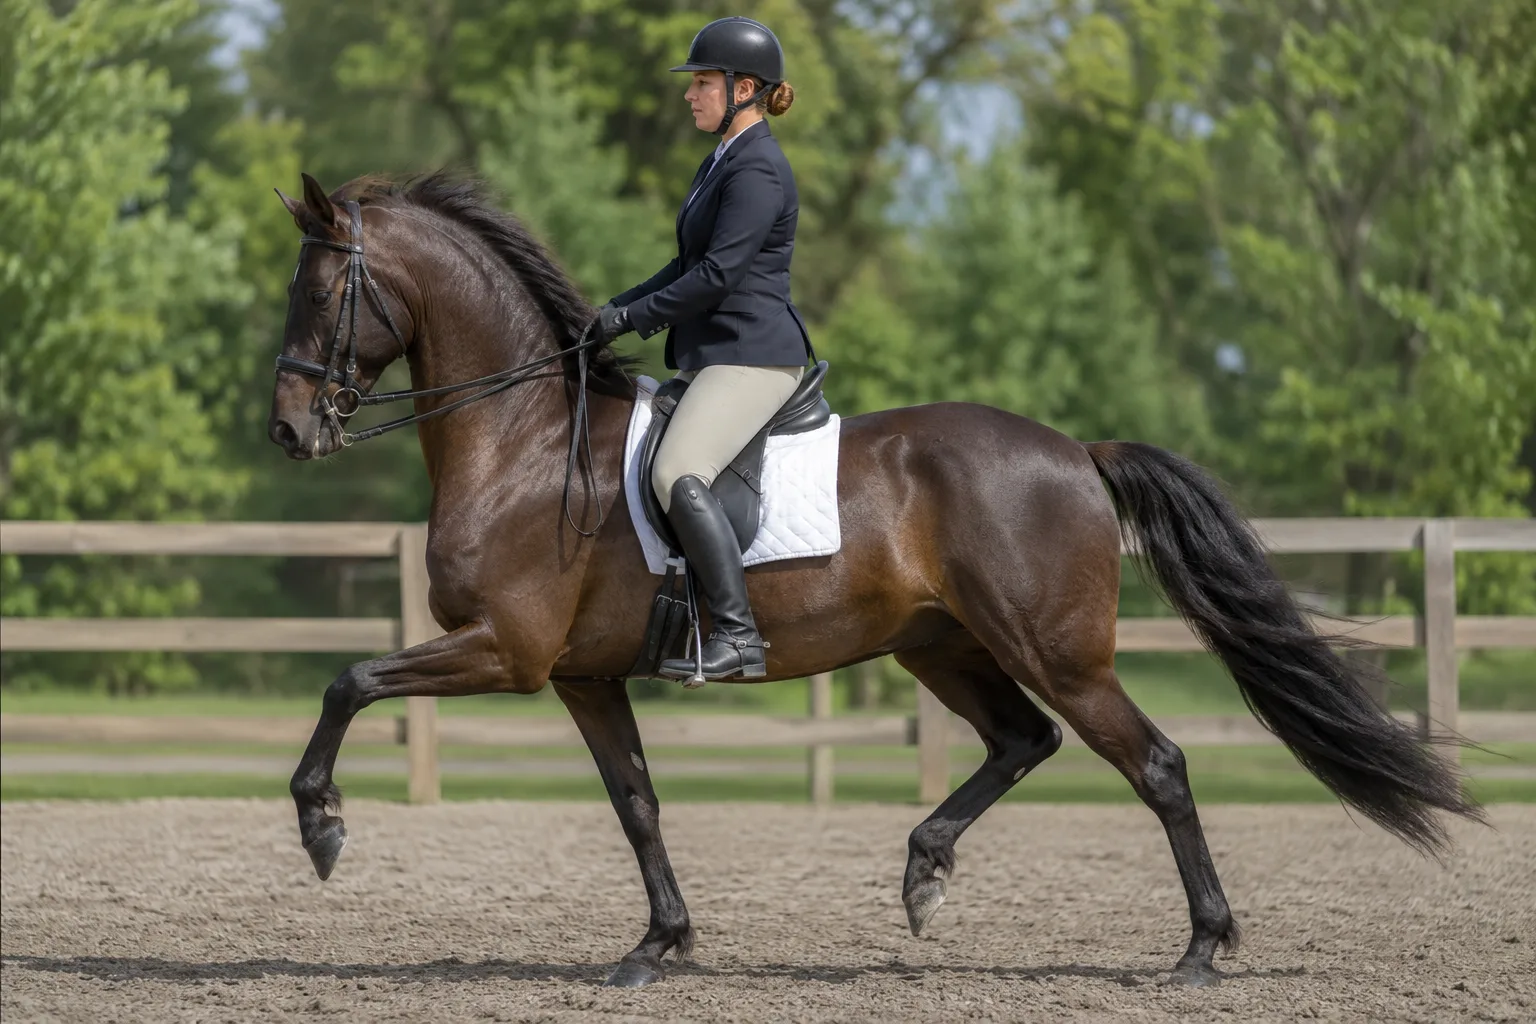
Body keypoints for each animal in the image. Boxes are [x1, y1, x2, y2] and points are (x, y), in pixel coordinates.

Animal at [267, 171, 1479, 989]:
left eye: (319, 292)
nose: (286, 431)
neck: (522, 443)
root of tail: (1076, 451)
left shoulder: (505, 652)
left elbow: (346, 681)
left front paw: (323, 827)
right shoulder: (579, 675)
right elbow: (637, 804)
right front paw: (659, 944)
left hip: (1055, 650)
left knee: (1157, 764)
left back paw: (1199, 948)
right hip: (940, 645)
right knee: (1023, 742)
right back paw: (925, 872)